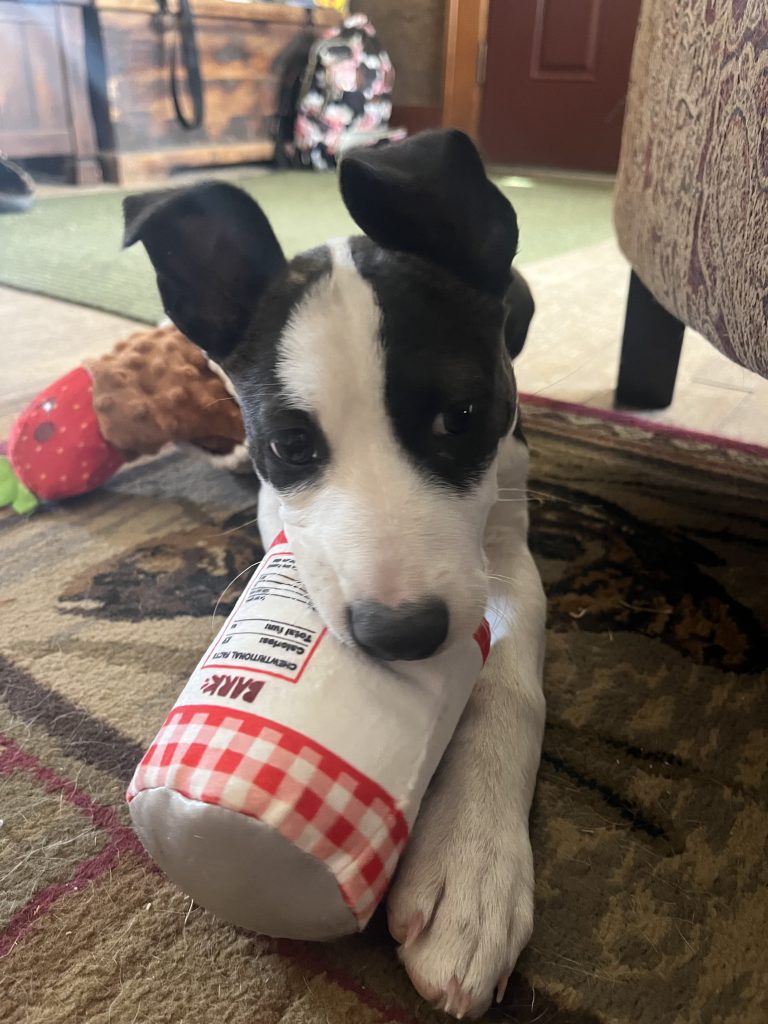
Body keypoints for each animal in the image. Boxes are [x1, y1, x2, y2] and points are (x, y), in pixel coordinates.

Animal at [124, 129, 546, 1020]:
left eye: (461, 417)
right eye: (290, 444)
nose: (402, 633)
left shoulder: (507, 532)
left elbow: (506, 684)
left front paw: (472, 867)